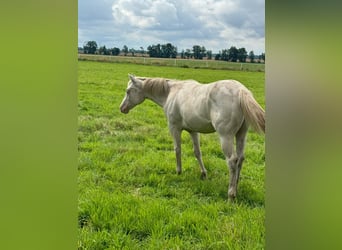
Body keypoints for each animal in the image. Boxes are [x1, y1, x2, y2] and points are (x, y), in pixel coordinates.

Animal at [119, 73, 264, 199]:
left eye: (128, 91)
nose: (122, 108)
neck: (171, 92)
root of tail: (240, 90)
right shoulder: (193, 131)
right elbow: (197, 152)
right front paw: (204, 174)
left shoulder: (174, 128)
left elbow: (177, 149)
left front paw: (178, 172)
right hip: (241, 135)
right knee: (240, 158)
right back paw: (236, 186)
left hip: (225, 136)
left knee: (232, 160)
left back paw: (231, 194)